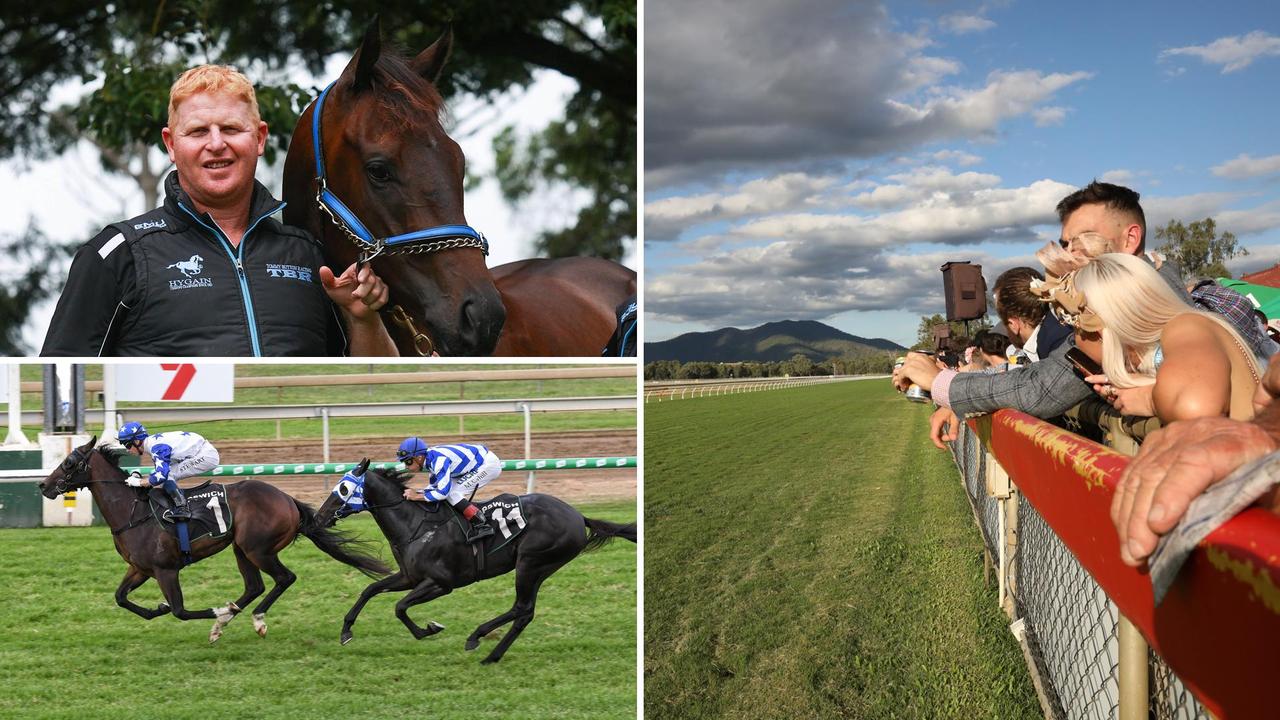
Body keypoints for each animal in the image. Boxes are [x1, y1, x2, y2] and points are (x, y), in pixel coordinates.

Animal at [38, 435, 389, 640]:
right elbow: (121, 598)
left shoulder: (166, 570)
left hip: (259, 549)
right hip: (241, 549)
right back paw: (228, 619)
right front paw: (158, 610)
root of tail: (288, 499)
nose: (44, 485)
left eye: (69, 462)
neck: (132, 511)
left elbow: (180, 610)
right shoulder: (140, 568)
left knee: (284, 578)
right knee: (255, 586)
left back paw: (252, 618)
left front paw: (213, 612)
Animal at [317, 458, 637, 661]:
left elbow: (400, 607)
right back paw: (492, 656)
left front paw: (428, 629)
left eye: (343, 488)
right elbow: (370, 590)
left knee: (521, 607)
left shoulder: (441, 583)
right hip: (540, 567)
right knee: (525, 613)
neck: (417, 524)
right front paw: (346, 631)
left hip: (531, 563)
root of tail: (578, 516)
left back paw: (477, 636)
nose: (320, 517)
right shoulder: (409, 576)